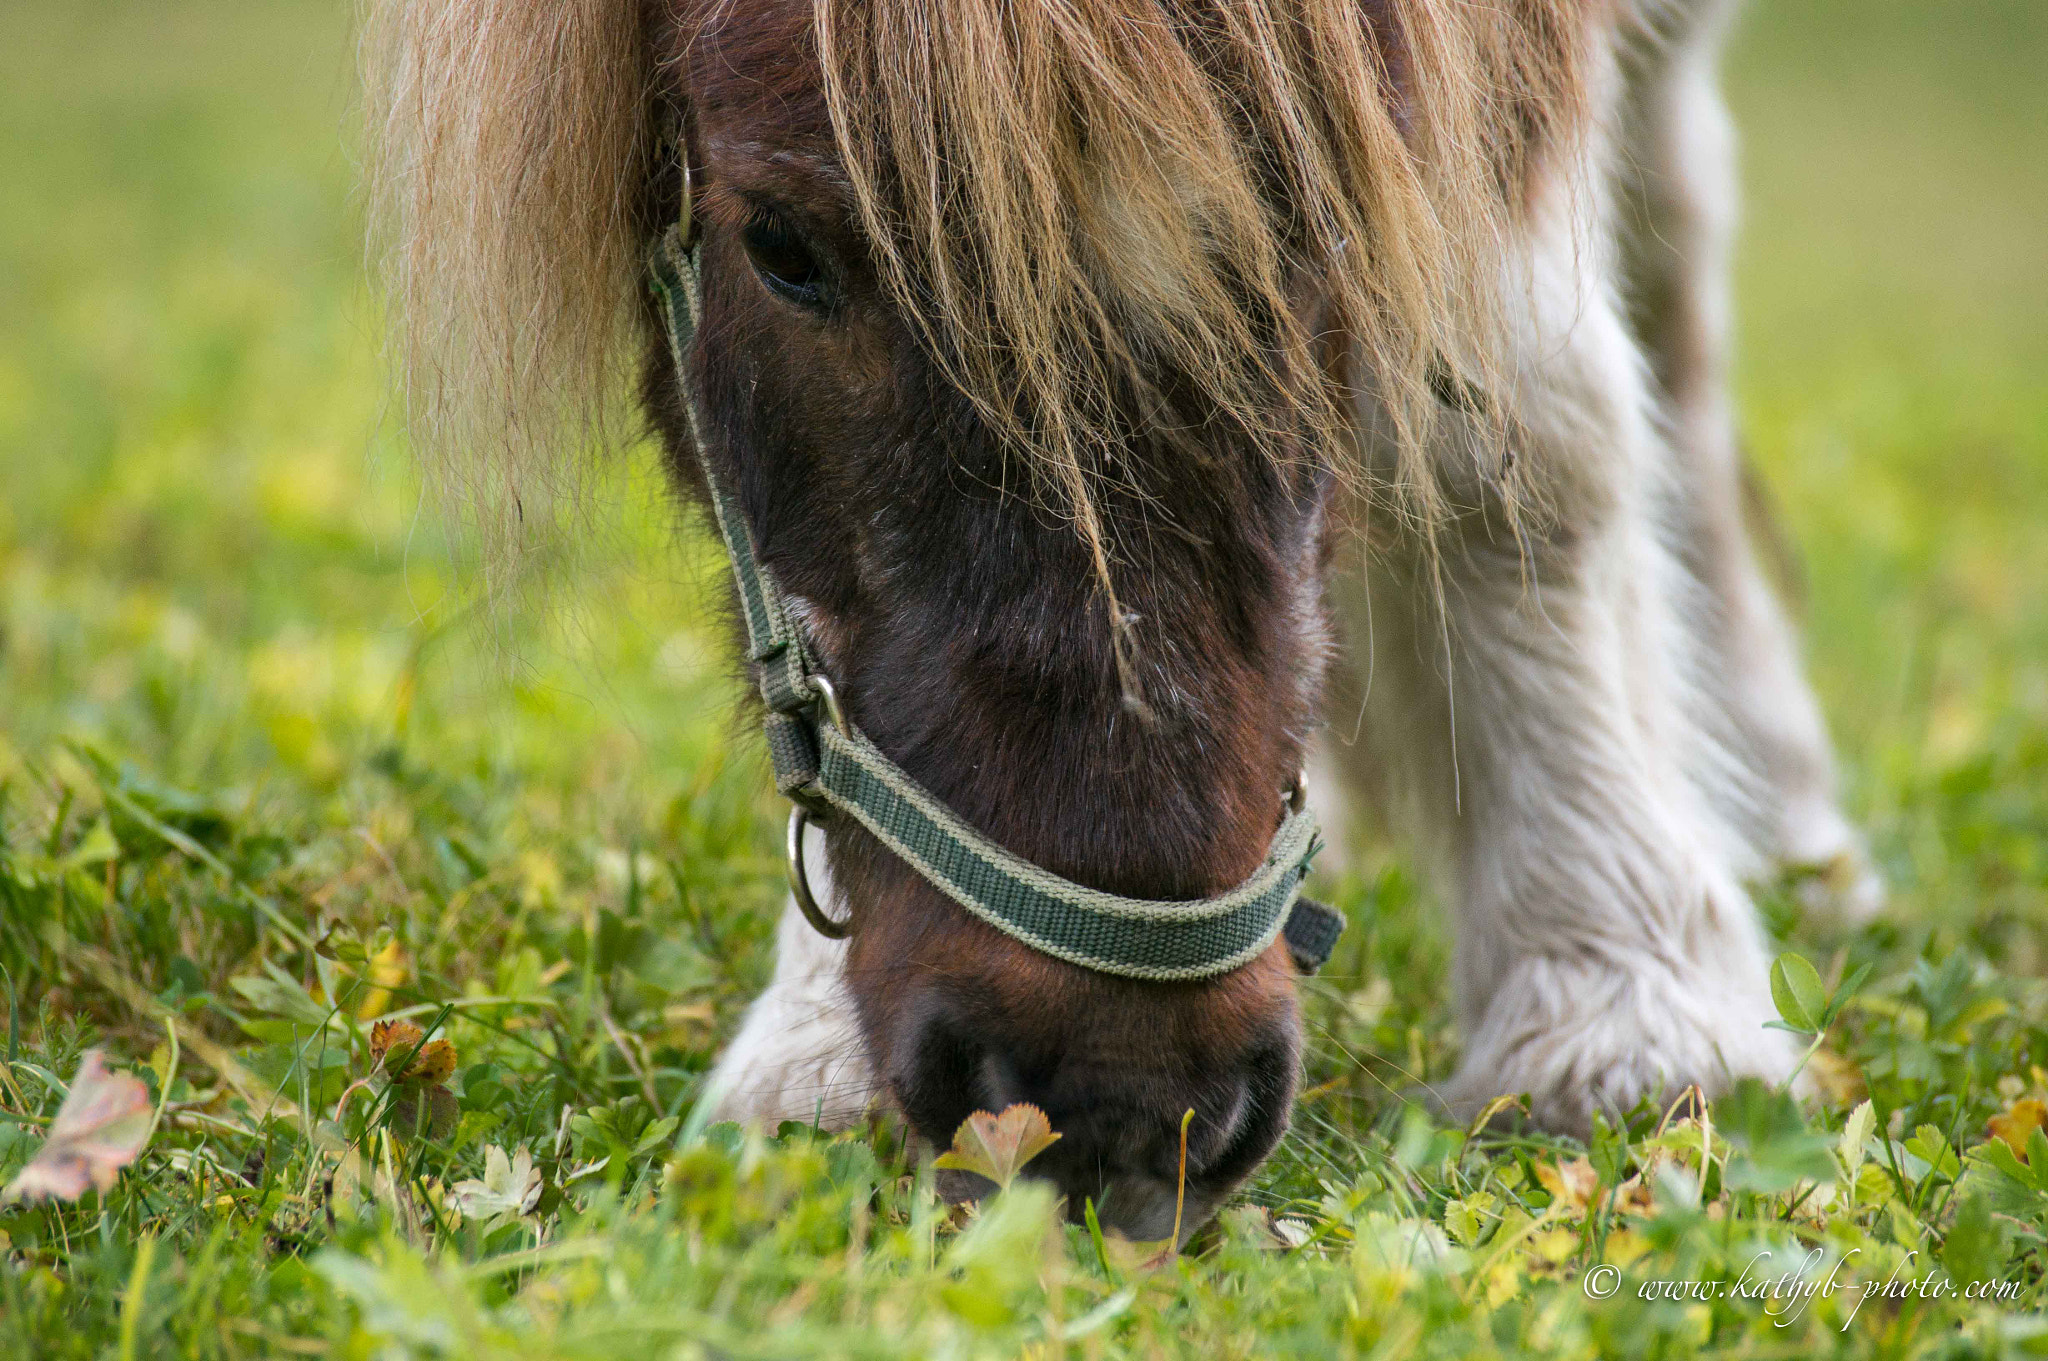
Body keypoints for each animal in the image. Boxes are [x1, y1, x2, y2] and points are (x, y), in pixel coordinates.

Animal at [364, 0, 1882, 1239]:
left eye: (1332, 231)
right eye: (782, 250)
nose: (1113, 1104)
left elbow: (1517, 429)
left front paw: (1624, 1004)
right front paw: (812, 1049)